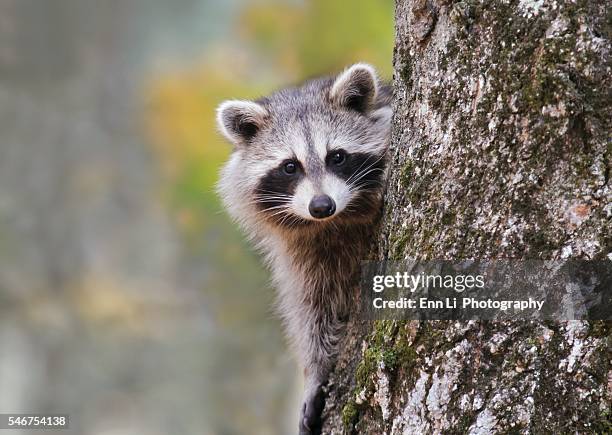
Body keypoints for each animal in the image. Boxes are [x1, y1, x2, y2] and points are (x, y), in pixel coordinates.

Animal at [218, 64, 392, 435]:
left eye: (337, 157)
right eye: (290, 166)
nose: (321, 205)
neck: (333, 223)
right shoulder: (301, 251)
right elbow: (311, 304)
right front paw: (316, 370)